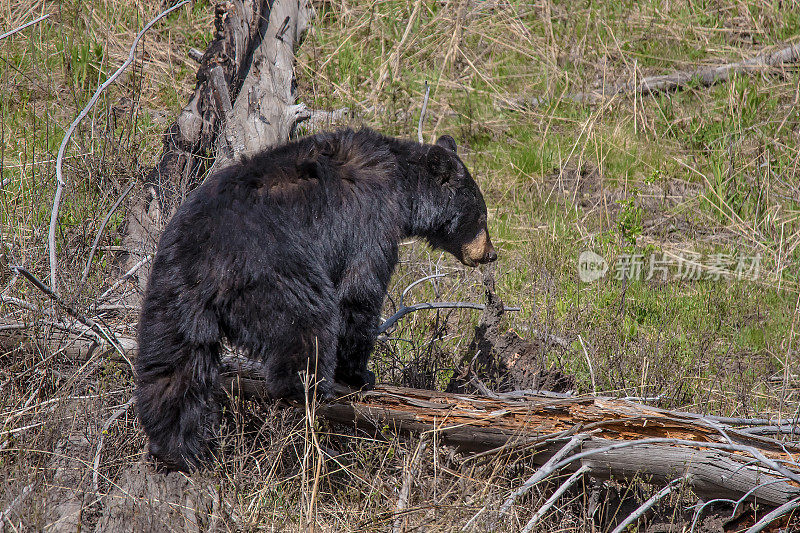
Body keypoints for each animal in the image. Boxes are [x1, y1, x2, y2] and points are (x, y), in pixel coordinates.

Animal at [138, 128, 500, 470]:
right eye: (482, 217)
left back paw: (175, 447)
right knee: (308, 323)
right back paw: (308, 390)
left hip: (171, 291)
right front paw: (359, 374)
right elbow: (359, 292)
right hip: (275, 275)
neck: (402, 185)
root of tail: (209, 262)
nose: (491, 253)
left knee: (173, 368)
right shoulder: (370, 220)